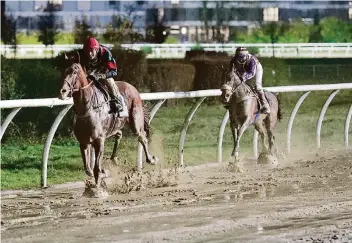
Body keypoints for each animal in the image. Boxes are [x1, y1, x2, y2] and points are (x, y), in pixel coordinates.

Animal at [57, 54, 157, 188]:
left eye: (74, 72)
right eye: (65, 71)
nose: (63, 91)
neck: (88, 108)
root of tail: (132, 87)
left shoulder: (99, 140)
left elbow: (96, 168)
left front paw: (99, 182)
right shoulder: (83, 142)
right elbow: (88, 169)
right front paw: (103, 172)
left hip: (136, 120)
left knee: (142, 137)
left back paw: (151, 159)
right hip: (114, 126)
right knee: (119, 133)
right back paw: (114, 158)